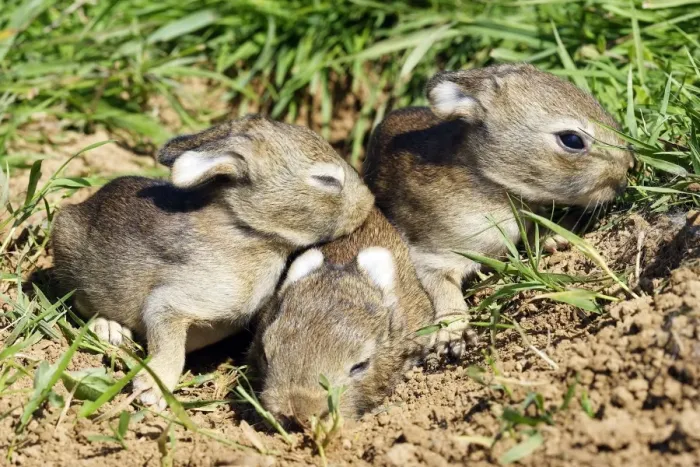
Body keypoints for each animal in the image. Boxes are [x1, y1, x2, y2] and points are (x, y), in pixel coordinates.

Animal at [51, 114, 375, 409]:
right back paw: (109, 328)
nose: (368, 202)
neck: (248, 230)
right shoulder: (170, 302)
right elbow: (168, 341)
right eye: (326, 180)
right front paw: (153, 389)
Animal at [362, 63, 634, 358]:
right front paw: (454, 333)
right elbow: (442, 287)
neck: (490, 180)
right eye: (572, 140)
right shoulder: (432, 253)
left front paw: (555, 238)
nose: (627, 168)